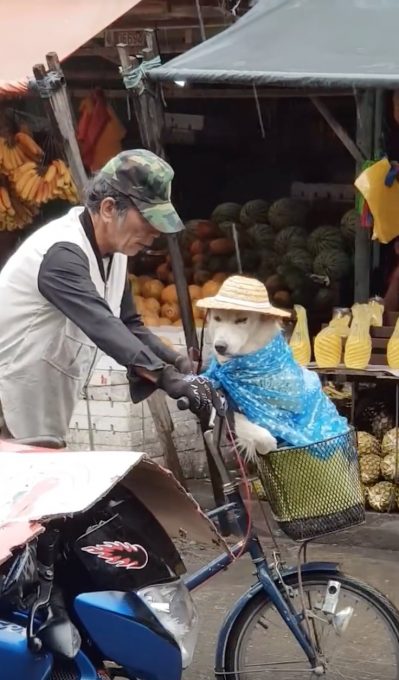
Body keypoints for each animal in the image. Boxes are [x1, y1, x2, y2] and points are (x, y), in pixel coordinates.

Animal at [206, 310, 282, 462]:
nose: (219, 346)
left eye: (242, 320)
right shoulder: (236, 412)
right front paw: (268, 448)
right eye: (217, 318)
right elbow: (263, 437)